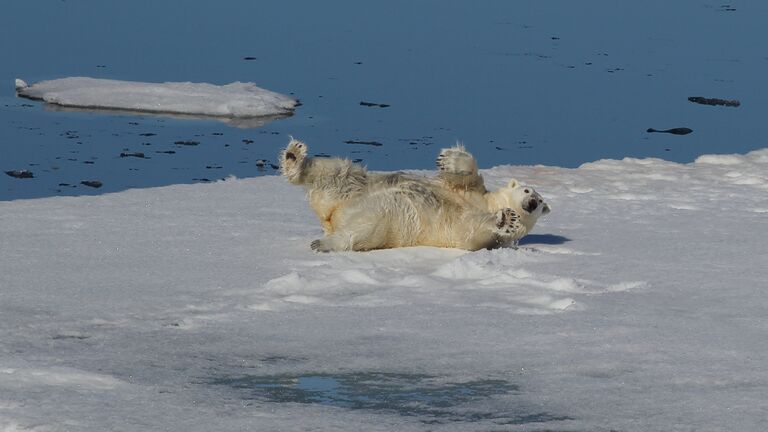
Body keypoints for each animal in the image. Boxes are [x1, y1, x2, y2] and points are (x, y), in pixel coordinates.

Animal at [280, 138, 548, 251]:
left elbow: (471, 230)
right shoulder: (471, 192)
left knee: (363, 229)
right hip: (353, 187)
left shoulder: (474, 235)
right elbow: (467, 175)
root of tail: (330, 217)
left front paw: (506, 218)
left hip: (388, 220)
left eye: (541, 202)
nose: (532, 202)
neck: (488, 204)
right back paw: (294, 156)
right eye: (527, 190)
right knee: (337, 171)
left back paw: (323, 243)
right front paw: (448, 158)